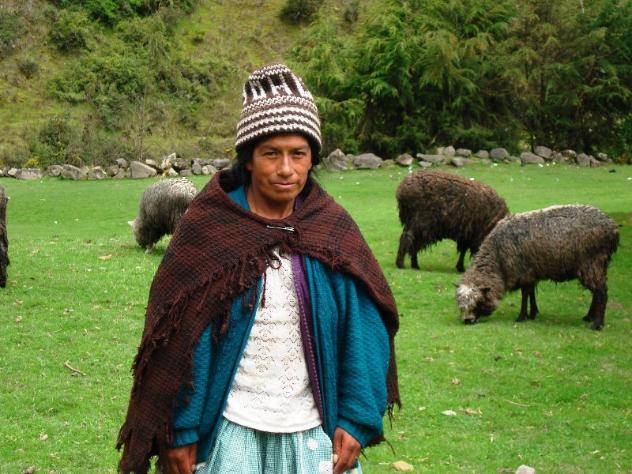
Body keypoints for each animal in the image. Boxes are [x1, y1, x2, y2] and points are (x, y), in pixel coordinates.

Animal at [455, 204, 619, 330]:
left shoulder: (522, 272)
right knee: (597, 292)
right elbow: (531, 293)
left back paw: (597, 324)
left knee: (601, 293)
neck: (498, 258)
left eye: (478, 302)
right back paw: (589, 317)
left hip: (592, 263)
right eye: (460, 306)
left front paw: (521, 317)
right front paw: (533, 313)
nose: (467, 321)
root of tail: (613, 229)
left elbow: (524, 294)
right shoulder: (531, 272)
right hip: (599, 265)